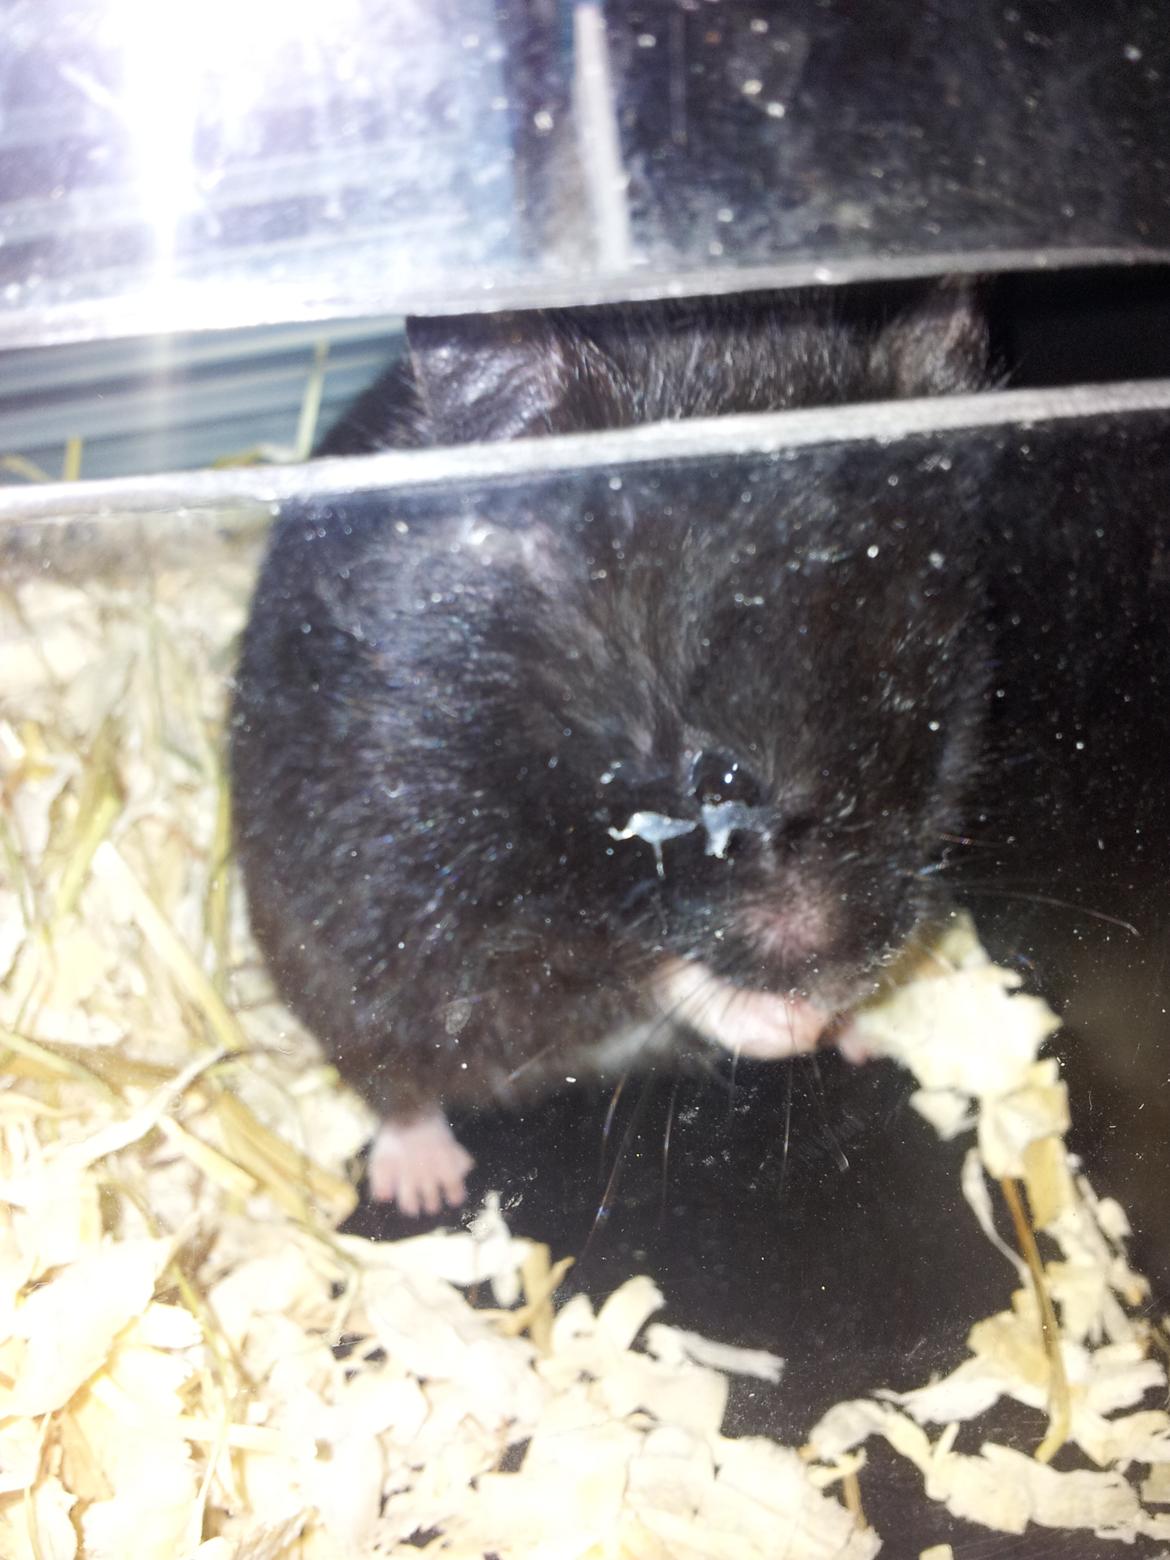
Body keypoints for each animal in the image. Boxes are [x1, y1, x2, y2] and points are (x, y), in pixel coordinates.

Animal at [231, 288, 991, 1216]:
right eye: (717, 780)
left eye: (935, 733)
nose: (853, 976)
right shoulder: (430, 893)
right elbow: (635, 971)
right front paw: (795, 1019)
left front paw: (843, 1015)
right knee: (394, 1079)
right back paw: (426, 1185)